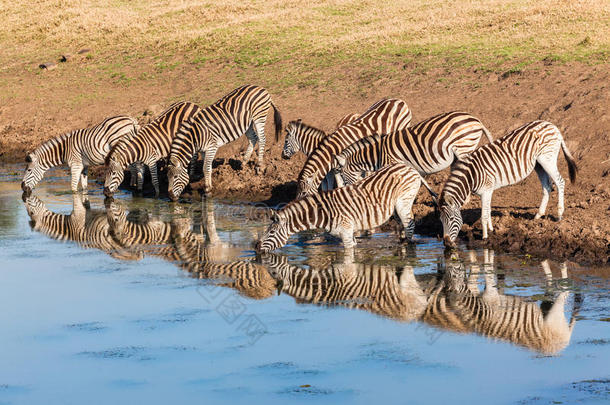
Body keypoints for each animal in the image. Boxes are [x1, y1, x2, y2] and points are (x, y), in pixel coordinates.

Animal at [254, 162, 420, 251]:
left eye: (271, 232)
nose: (256, 247)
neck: (323, 213)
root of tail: (406, 167)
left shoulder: (345, 233)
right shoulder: (350, 232)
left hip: (403, 202)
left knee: (410, 223)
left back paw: (408, 244)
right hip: (397, 206)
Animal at [422, 249, 580, 354]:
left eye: (454, 271)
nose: (440, 269)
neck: (478, 309)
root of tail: (558, 348)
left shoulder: (491, 295)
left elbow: (488, 274)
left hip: (555, 315)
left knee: (564, 293)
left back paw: (564, 274)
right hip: (547, 310)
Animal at [436, 119, 576, 246]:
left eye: (451, 219)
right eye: (441, 220)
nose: (446, 243)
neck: (471, 176)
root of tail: (551, 125)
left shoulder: (486, 191)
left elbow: (484, 215)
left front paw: (485, 237)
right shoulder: (488, 191)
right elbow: (488, 210)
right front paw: (491, 229)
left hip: (547, 159)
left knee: (560, 182)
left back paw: (559, 214)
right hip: (539, 164)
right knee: (547, 186)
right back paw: (538, 215)